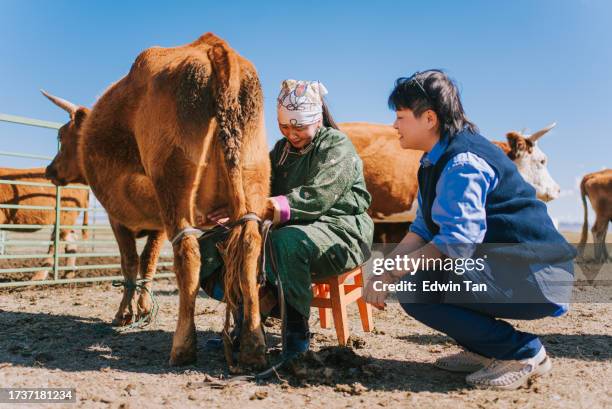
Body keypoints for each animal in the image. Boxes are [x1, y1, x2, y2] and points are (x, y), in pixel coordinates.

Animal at [43, 32, 270, 366]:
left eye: (61, 137)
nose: (50, 170)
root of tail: (212, 47)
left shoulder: (118, 217)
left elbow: (131, 263)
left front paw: (126, 313)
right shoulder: (158, 224)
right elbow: (148, 263)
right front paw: (143, 308)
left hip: (173, 185)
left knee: (188, 254)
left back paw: (183, 346)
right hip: (251, 175)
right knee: (250, 248)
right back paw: (253, 347)